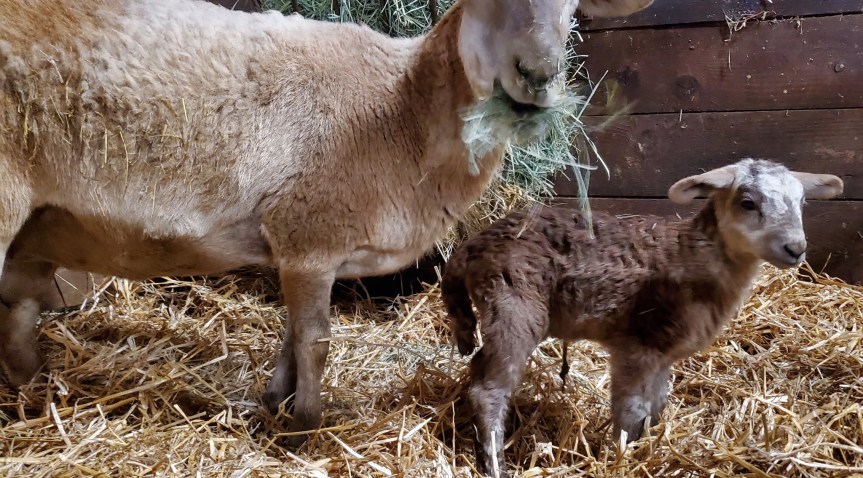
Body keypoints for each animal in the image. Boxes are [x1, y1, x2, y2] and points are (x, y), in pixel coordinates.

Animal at [0, 0, 654, 444]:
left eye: (572, 6)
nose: (538, 75)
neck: (401, 109)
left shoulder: (300, 245)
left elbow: (291, 333)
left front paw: (274, 403)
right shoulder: (312, 233)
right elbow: (314, 340)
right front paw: (307, 425)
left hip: (34, 231)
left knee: (19, 314)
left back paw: (35, 391)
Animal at [441, 159, 844, 476]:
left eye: (803, 202)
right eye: (747, 202)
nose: (796, 248)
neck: (689, 257)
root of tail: (470, 247)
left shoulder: (664, 352)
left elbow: (657, 405)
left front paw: (646, 447)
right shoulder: (636, 345)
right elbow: (632, 409)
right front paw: (620, 456)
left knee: (478, 366)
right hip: (514, 305)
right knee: (489, 391)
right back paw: (495, 464)